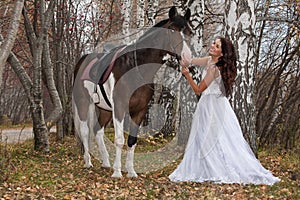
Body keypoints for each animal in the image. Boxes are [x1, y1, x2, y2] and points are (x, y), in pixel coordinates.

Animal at [71, 6, 191, 177]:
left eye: (189, 32)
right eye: (172, 30)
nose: (188, 58)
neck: (134, 67)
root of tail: (82, 61)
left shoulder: (140, 110)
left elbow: (132, 140)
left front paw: (131, 171)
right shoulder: (120, 108)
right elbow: (119, 139)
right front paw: (117, 172)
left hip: (105, 109)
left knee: (98, 131)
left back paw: (105, 162)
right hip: (83, 103)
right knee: (85, 131)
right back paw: (88, 163)